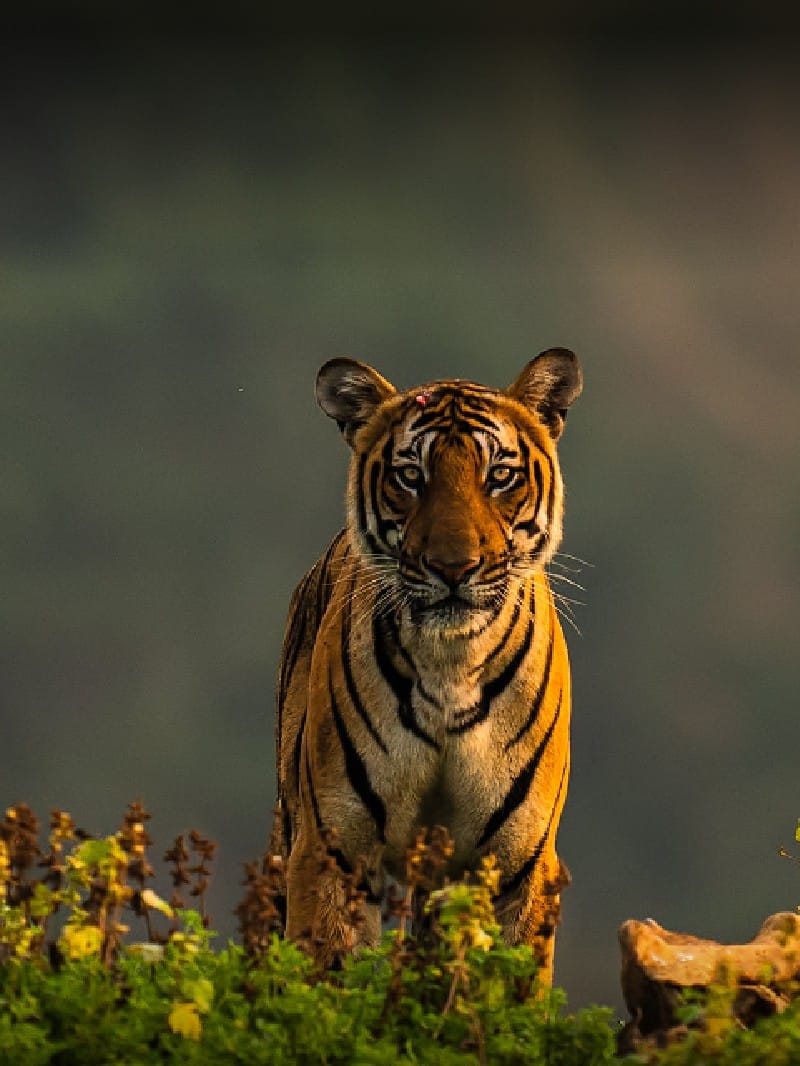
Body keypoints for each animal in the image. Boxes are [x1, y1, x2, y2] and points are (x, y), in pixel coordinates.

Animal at [270, 349, 583, 984]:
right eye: (410, 476)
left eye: (500, 476)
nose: (453, 566)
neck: (451, 663)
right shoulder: (334, 845)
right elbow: (324, 981)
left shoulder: (518, 859)